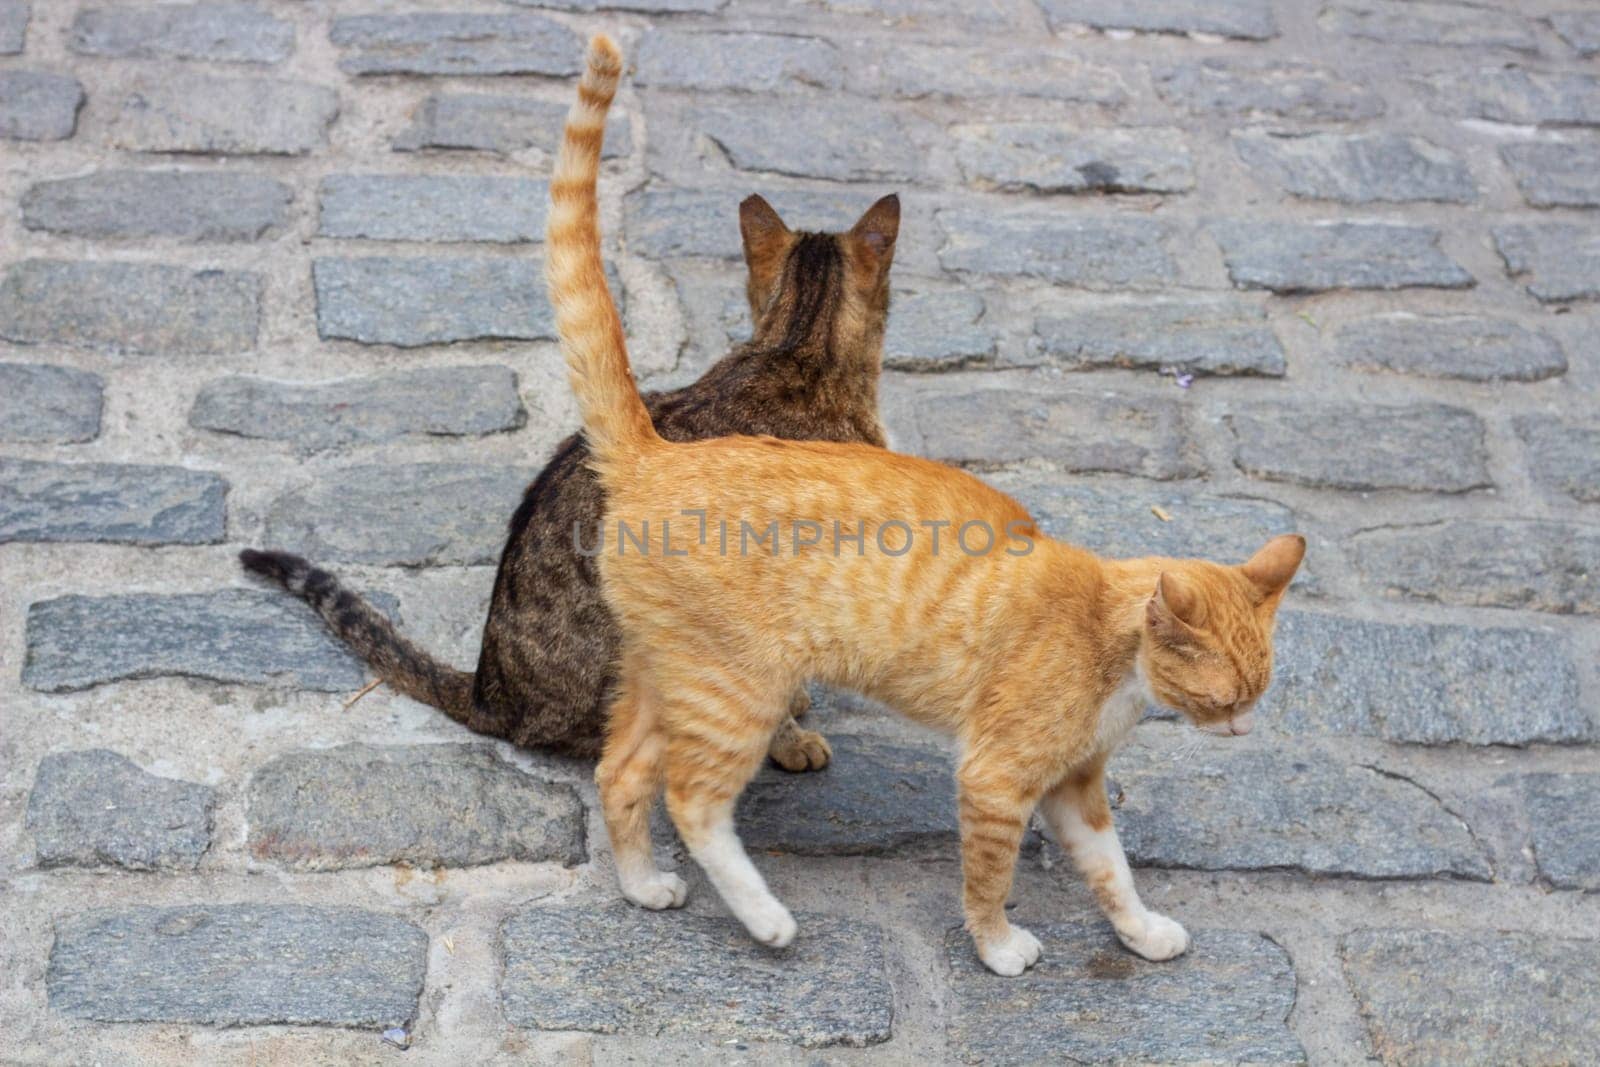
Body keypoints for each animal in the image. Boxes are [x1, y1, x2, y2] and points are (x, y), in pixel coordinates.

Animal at [550, 37, 1299, 979]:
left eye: (1258, 690)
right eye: (1228, 694)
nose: (1244, 729)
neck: (1113, 646)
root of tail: (658, 451)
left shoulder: (1074, 787)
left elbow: (1112, 869)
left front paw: (1143, 929)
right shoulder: (998, 776)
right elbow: (990, 875)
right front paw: (999, 945)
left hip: (672, 675)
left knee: (620, 773)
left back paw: (644, 884)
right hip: (741, 690)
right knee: (690, 797)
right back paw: (766, 917)